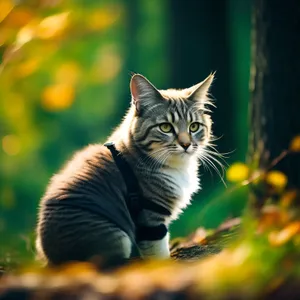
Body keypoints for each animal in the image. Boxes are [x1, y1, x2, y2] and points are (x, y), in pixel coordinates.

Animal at [35, 72, 216, 268]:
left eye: (194, 126)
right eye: (166, 127)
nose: (186, 144)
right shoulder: (150, 217)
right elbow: (158, 254)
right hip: (115, 237)